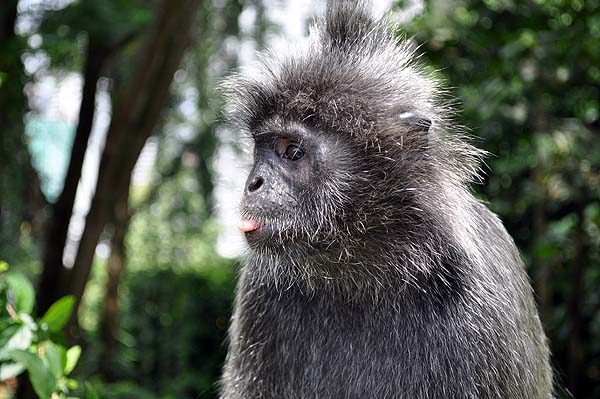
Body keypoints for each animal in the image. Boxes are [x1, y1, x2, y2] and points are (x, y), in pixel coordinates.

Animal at [218, 1, 552, 398]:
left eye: (292, 152)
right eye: (261, 149)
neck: (361, 277)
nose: (253, 182)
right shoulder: (259, 288)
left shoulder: (483, 311)